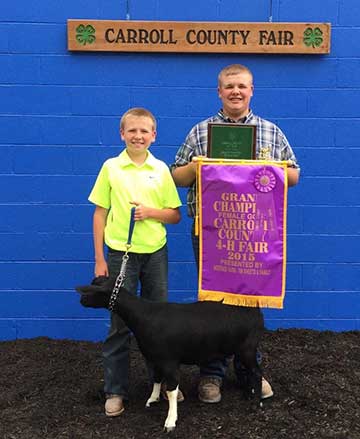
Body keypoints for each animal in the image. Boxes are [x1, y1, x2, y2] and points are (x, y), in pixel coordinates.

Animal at [76, 276, 262, 434]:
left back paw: (257, 403)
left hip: (248, 349)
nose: (81, 301)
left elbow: (172, 389)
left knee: (257, 373)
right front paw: (152, 399)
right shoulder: (156, 358)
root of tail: (255, 311)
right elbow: (157, 379)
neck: (143, 315)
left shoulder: (170, 361)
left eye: (93, 290)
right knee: (248, 371)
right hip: (241, 351)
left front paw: (170, 421)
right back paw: (248, 394)